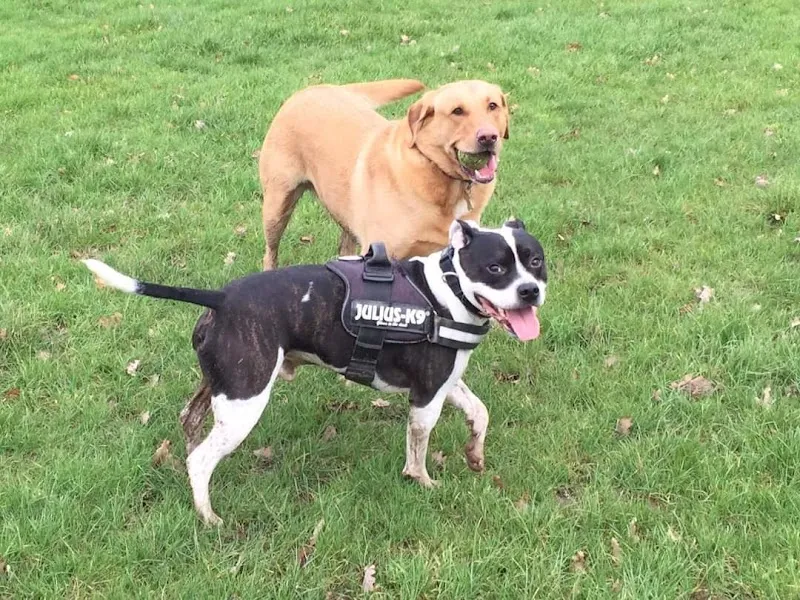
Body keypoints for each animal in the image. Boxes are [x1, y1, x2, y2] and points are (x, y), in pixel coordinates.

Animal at [83, 219, 546, 525]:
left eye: (537, 261)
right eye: (495, 268)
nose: (530, 290)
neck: (447, 291)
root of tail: (221, 298)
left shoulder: (446, 382)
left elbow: (480, 412)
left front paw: (475, 455)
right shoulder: (427, 395)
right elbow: (418, 448)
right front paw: (424, 483)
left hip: (221, 388)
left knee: (190, 423)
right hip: (245, 403)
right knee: (201, 460)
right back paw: (209, 516)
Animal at [259, 79, 510, 269]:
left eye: (493, 106)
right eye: (457, 111)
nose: (488, 137)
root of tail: (311, 88)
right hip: (277, 207)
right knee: (270, 252)